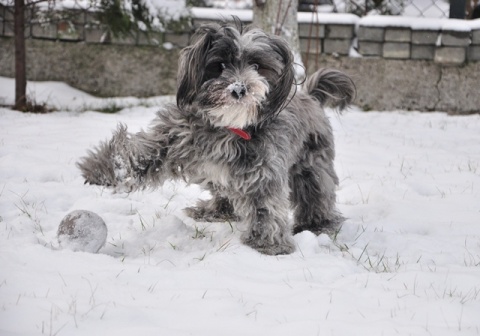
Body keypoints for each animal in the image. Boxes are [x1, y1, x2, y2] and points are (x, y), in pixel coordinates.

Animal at [78, 20, 356, 255]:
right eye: (220, 65)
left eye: (258, 67)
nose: (239, 89)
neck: (228, 126)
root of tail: (311, 95)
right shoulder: (175, 135)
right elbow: (143, 151)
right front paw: (109, 169)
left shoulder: (263, 168)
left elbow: (264, 205)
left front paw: (267, 245)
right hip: (216, 175)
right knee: (226, 195)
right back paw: (212, 211)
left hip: (312, 166)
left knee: (316, 194)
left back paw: (317, 225)